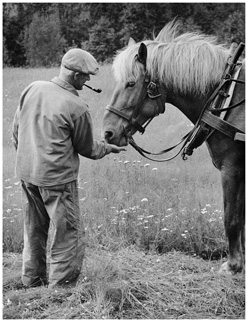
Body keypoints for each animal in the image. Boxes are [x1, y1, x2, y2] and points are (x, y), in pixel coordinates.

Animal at [101, 20, 245, 274]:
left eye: (131, 83)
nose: (108, 132)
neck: (226, 98)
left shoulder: (232, 168)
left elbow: (232, 218)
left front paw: (232, 265)